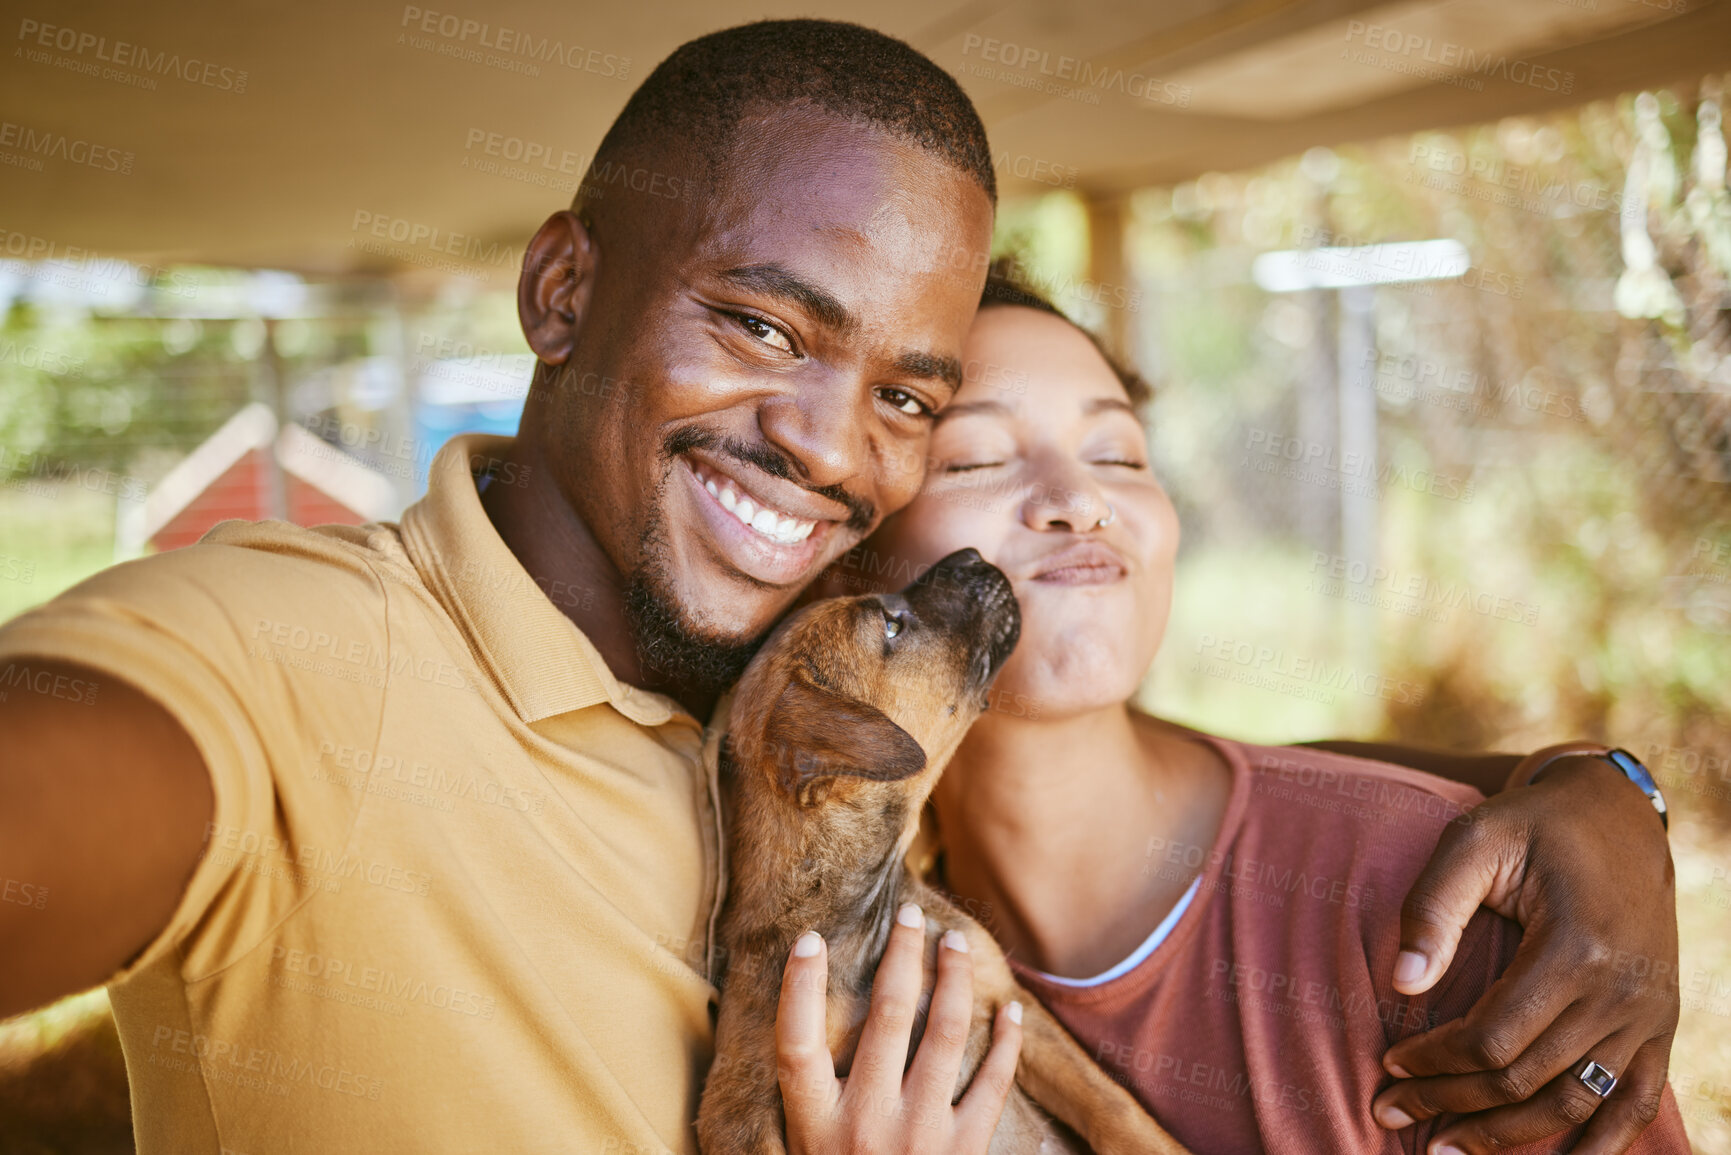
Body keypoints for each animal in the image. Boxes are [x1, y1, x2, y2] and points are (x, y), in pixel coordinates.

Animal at [695, 550, 1184, 1155]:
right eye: (891, 626)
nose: (970, 556)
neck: (863, 927)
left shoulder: (1011, 1002)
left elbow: (1116, 1111)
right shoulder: (739, 1100)